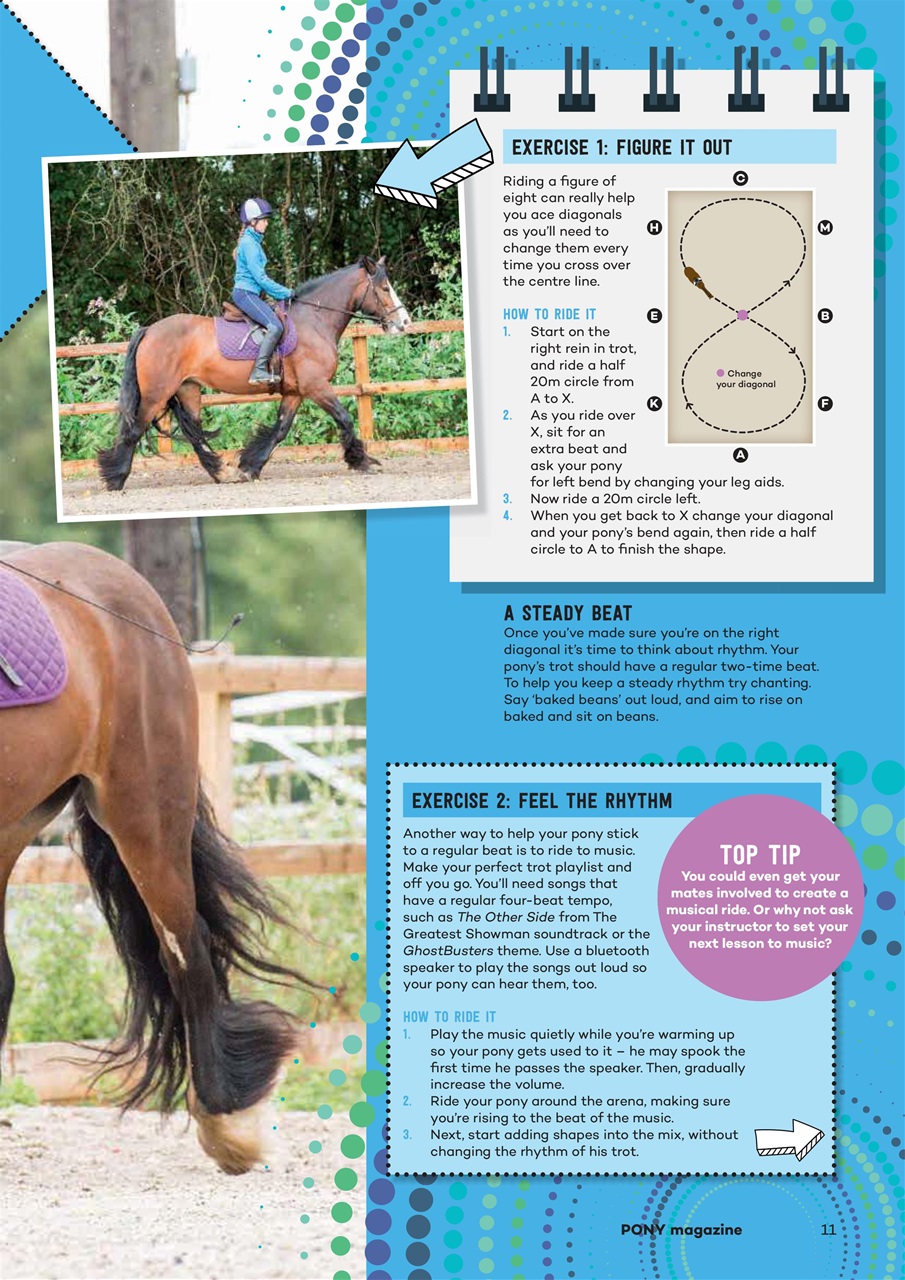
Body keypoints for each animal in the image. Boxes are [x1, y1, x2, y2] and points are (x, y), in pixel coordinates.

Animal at [97, 255, 411, 491]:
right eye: (384, 288)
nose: (404, 322)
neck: (314, 320)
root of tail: (150, 330)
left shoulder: (295, 392)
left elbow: (280, 430)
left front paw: (249, 466)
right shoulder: (316, 386)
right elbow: (344, 418)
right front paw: (362, 461)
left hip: (188, 390)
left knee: (195, 435)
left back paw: (221, 473)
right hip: (156, 395)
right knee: (134, 429)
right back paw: (116, 478)